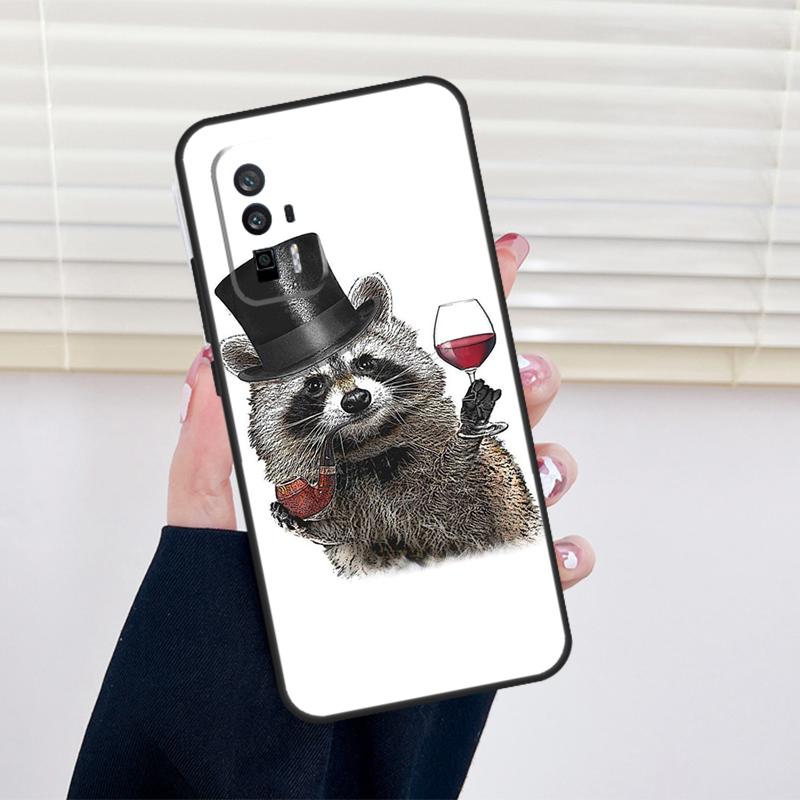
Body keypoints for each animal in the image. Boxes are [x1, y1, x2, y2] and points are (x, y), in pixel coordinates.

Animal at [220, 273, 541, 576]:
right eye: (314, 384)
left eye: (365, 362)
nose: (356, 399)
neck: (369, 443)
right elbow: (342, 531)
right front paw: (306, 523)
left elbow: (457, 487)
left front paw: (464, 442)